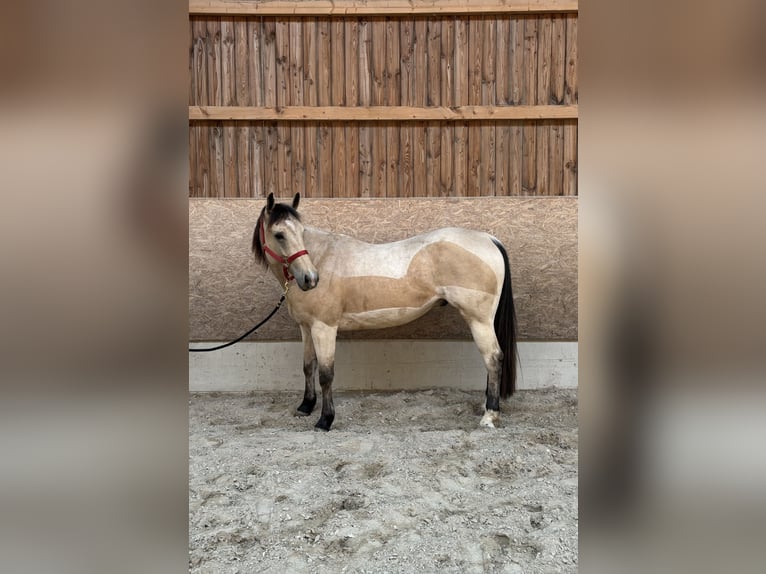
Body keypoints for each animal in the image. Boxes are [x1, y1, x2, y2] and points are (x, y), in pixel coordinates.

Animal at [252, 192, 518, 431]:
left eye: (301, 232)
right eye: (279, 234)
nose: (310, 279)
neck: (323, 259)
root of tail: (488, 238)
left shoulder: (324, 328)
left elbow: (326, 374)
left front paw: (325, 420)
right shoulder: (306, 327)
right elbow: (308, 366)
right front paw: (305, 407)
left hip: (479, 320)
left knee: (493, 358)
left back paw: (489, 416)